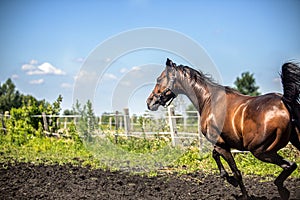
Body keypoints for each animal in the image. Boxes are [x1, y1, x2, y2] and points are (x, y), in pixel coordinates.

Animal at [147, 58, 300, 199]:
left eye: (159, 79)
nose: (149, 102)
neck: (208, 99)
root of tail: (285, 102)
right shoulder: (221, 144)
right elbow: (215, 155)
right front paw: (227, 177)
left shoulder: (221, 145)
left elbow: (236, 172)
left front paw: (237, 186)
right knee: (292, 165)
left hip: (260, 151)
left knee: (290, 165)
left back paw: (282, 190)